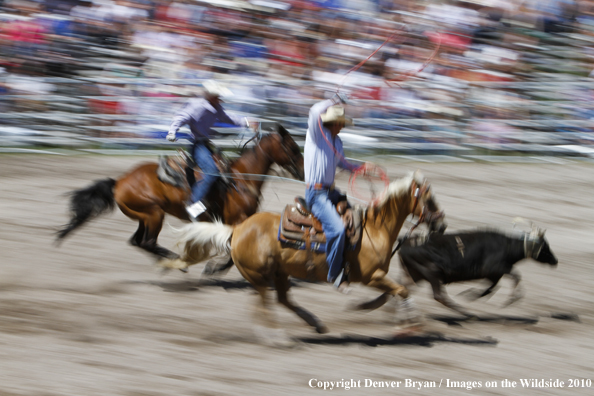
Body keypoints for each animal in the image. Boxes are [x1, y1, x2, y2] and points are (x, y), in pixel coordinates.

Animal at [56, 125, 302, 262]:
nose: (301, 170)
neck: (241, 178)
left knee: (137, 241)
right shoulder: (236, 219)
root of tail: (119, 182)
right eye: (293, 147)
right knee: (147, 243)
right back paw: (176, 258)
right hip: (154, 214)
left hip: (145, 216)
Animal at [158, 172, 444, 334]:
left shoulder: (378, 277)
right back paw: (276, 336)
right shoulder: (371, 276)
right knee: (265, 304)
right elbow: (401, 290)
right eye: (429, 199)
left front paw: (373, 309)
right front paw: (410, 323)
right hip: (259, 275)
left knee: (283, 300)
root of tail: (237, 229)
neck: (374, 231)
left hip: (279, 273)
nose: (441, 225)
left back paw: (315, 324)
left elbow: (395, 292)